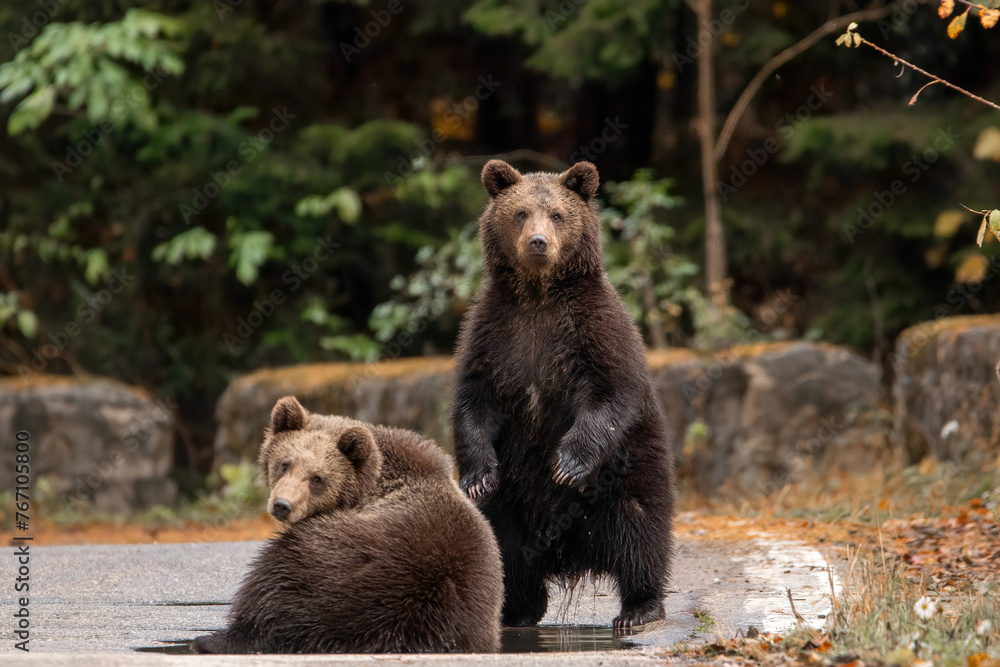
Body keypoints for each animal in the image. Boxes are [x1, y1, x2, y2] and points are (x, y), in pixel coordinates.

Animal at [192, 396, 503, 654]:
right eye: (284, 463)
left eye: (317, 478)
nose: (282, 505)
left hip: (339, 565)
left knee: (272, 579)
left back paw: (214, 638)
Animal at [451, 159, 675, 630]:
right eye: (520, 213)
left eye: (557, 214)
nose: (538, 242)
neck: (539, 296)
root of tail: (570, 558)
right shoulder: (494, 335)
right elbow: (474, 400)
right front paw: (478, 477)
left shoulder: (595, 330)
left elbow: (611, 392)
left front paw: (566, 465)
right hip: (513, 507)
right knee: (503, 546)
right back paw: (515, 609)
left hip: (626, 475)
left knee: (641, 531)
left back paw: (639, 608)